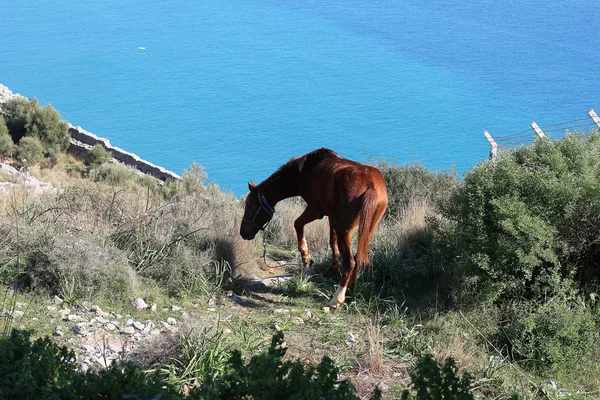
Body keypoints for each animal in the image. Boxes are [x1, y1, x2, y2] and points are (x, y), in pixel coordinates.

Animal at [239, 148, 390, 308]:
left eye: (249, 205)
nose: (243, 232)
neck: (303, 172)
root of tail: (371, 187)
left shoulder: (315, 210)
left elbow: (297, 224)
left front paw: (306, 257)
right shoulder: (332, 216)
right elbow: (332, 240)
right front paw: (332, 268)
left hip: (345, 231)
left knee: (350, 262)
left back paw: (337, 299)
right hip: (367, 230)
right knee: (358, 259)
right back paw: (350, 291)